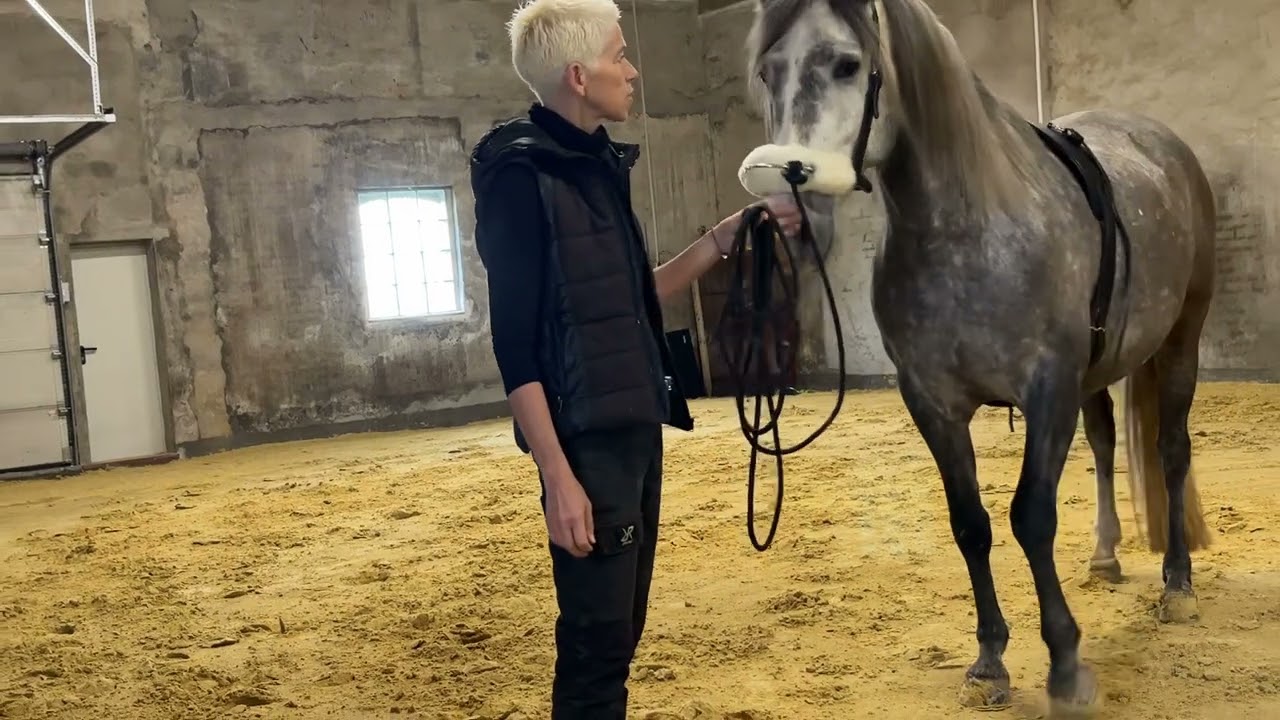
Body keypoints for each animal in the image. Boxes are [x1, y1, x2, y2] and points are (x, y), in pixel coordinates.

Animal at [737, 0, 1213, 707]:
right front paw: (989, 662)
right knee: (1104, 443)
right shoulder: (934, 404)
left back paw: (1177, 584)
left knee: (1171, 450)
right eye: (768, 71)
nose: (780, 201)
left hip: (1182, 337)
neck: (969, 232)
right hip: (1095, 371)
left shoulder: (1047, 390)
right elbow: (970, 523)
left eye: (847, 64)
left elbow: (1031, 517)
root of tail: (1166, 146)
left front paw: (1065, 665)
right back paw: (1105, 556)